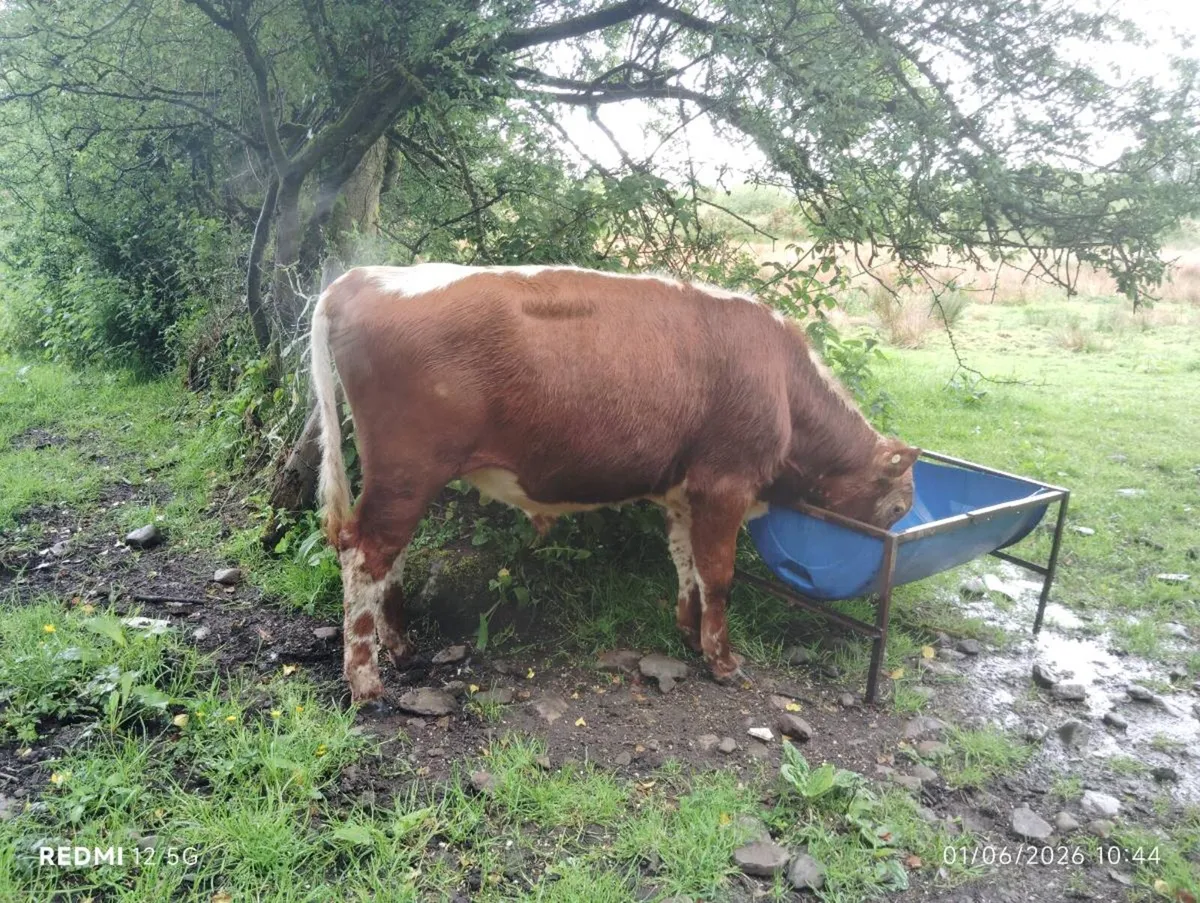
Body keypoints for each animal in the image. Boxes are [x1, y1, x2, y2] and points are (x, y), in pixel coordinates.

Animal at [310, 263, 919, 704]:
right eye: (897, 508)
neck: (784, 387)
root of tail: (361, 276)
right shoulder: (725, 485)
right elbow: (719, 576)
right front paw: (722, 660)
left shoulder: (683, 492)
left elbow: (686, 563)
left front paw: (686, 630)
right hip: (407, 471)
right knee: (365, 556)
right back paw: (366, 683)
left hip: (403, 479)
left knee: (388, 558)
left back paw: (401, 646)